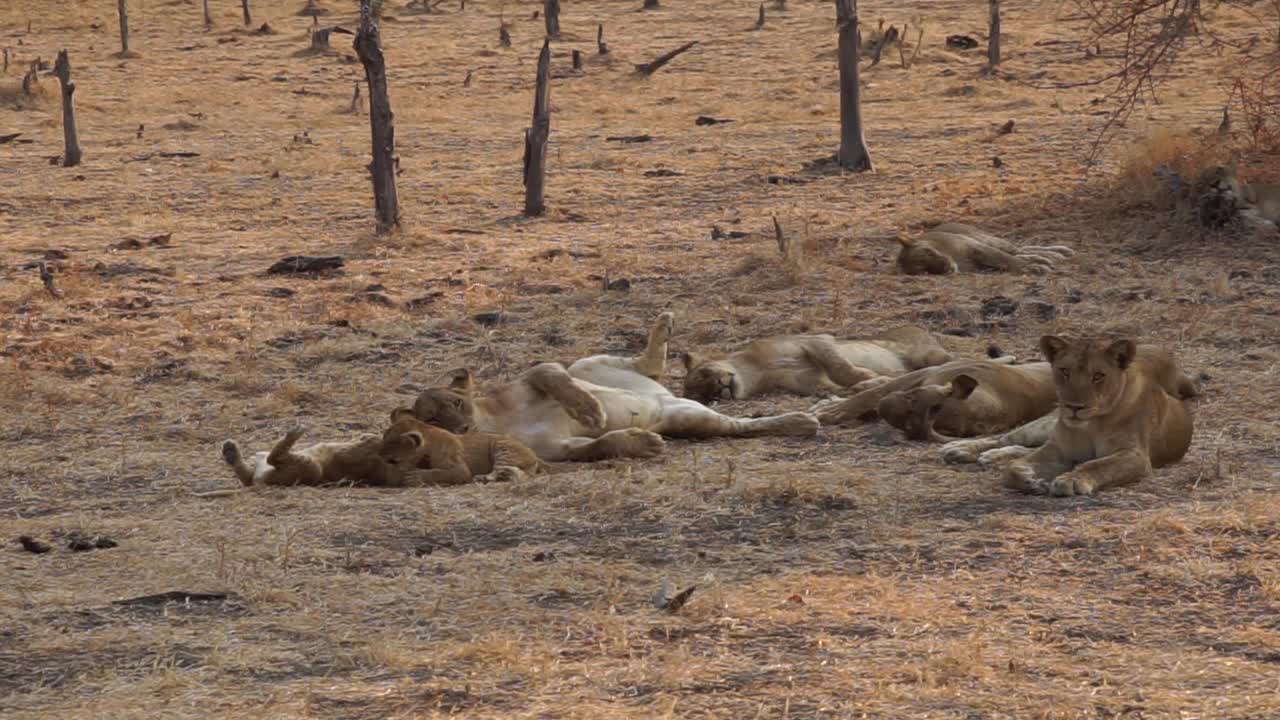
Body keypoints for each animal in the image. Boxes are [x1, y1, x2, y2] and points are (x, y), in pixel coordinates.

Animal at [896, 221, 1075, 274]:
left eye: (928, 252)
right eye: (924, 271)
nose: (947, 267)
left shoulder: (975, 247)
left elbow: (1009, 259)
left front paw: (1037, 267)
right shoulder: (981, 264)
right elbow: (1009, 262)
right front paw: (1036, 266)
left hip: (985, 239)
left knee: (1018, 249)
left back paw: (1060, 252)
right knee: (1019, 252)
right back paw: (1050, 258)